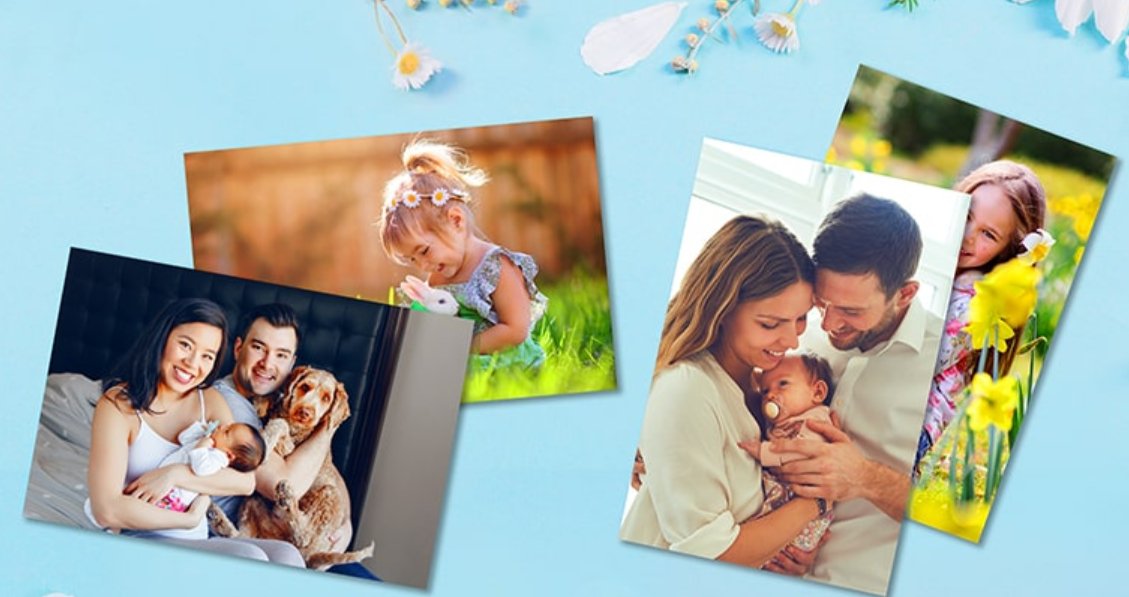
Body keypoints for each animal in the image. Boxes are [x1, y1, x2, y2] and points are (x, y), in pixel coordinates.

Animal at [207, 363, 374, 568]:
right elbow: (276, 402)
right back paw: (218, 519)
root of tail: (310, 557)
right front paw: (262, 402)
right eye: (305, 387)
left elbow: (279, 424)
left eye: (326, 398)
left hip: (329, 496)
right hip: (252, 502)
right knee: (241, 537)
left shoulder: (289, 447)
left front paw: (265, 438)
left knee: (303, 535)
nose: (305, 413)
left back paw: (287, 498)